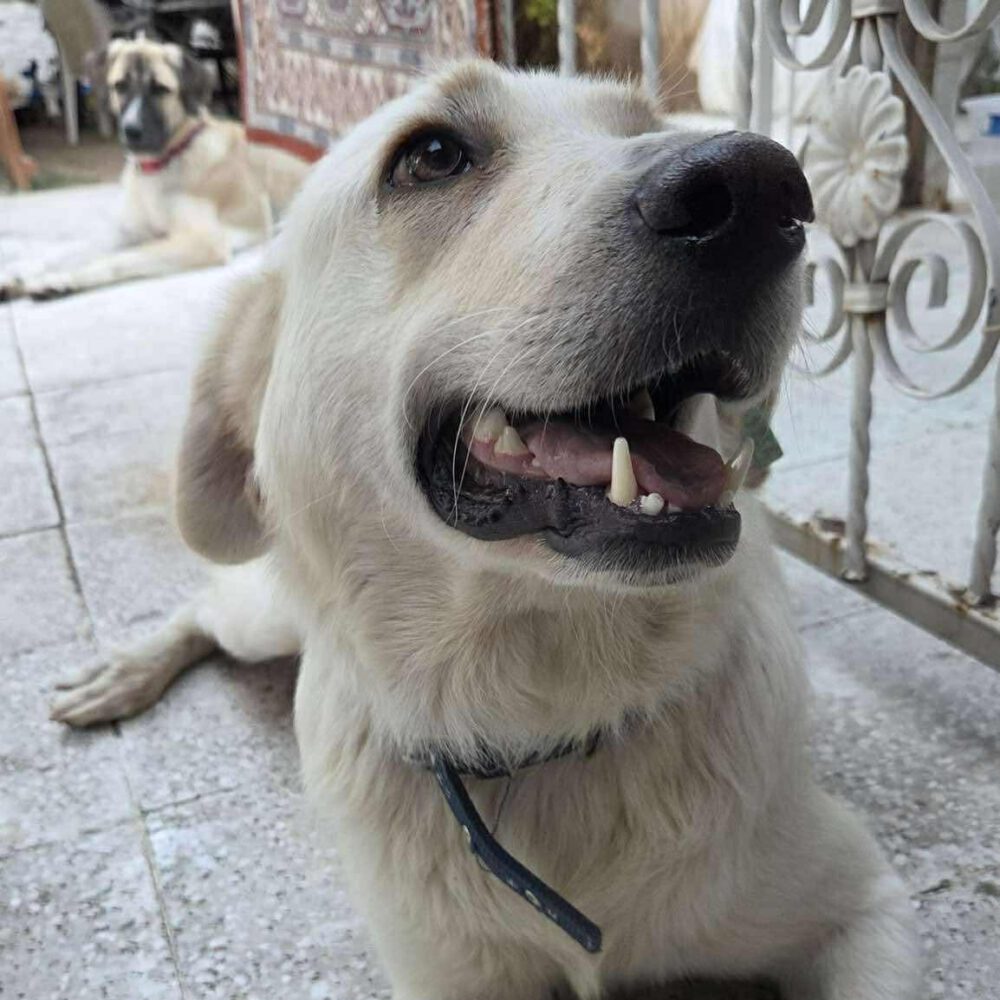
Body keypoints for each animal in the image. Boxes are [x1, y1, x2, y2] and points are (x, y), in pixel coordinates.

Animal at [1, 37, 308, 300]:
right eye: (120, 86)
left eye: (160, 89)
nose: (131, 131)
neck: (165, 162)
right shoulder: (127, 230)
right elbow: (71, 250)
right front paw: (20, 273)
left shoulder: (203, 240)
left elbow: (118, 258)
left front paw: (62, 279)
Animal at [51, 62, 921, 999]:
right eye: (432, 155)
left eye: (647, 127)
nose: (762, 186)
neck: (545, 731)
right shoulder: (440, 977)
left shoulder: (863, 901)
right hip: (266, 620)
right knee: (207, 604)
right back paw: (120, 674)